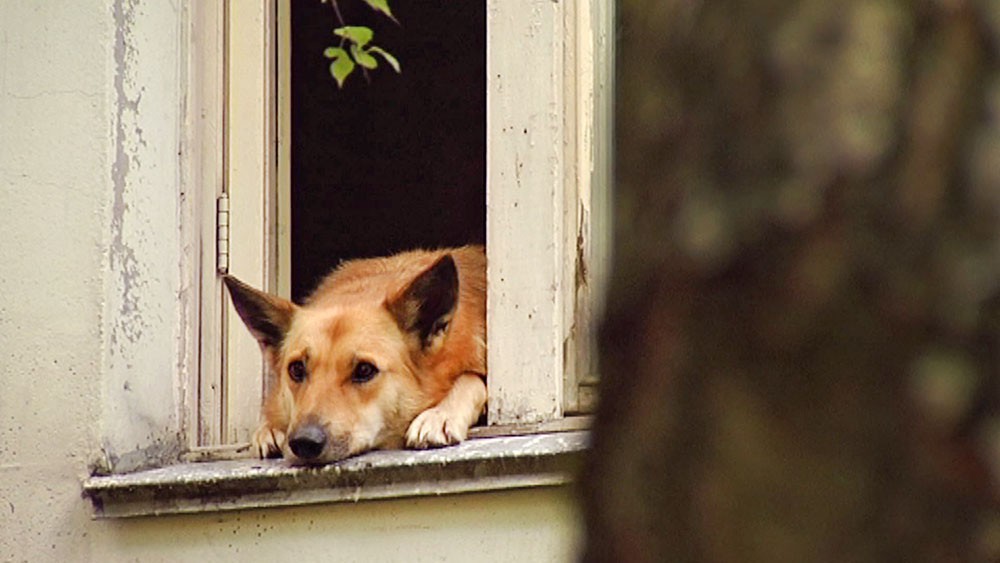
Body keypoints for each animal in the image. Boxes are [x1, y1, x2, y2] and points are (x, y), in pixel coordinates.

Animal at [228, 246, 492, 462]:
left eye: (365, 370)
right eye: (296, 369)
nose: (304, 442)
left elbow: (471, 379)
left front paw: (440, 414)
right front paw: (270, 429)